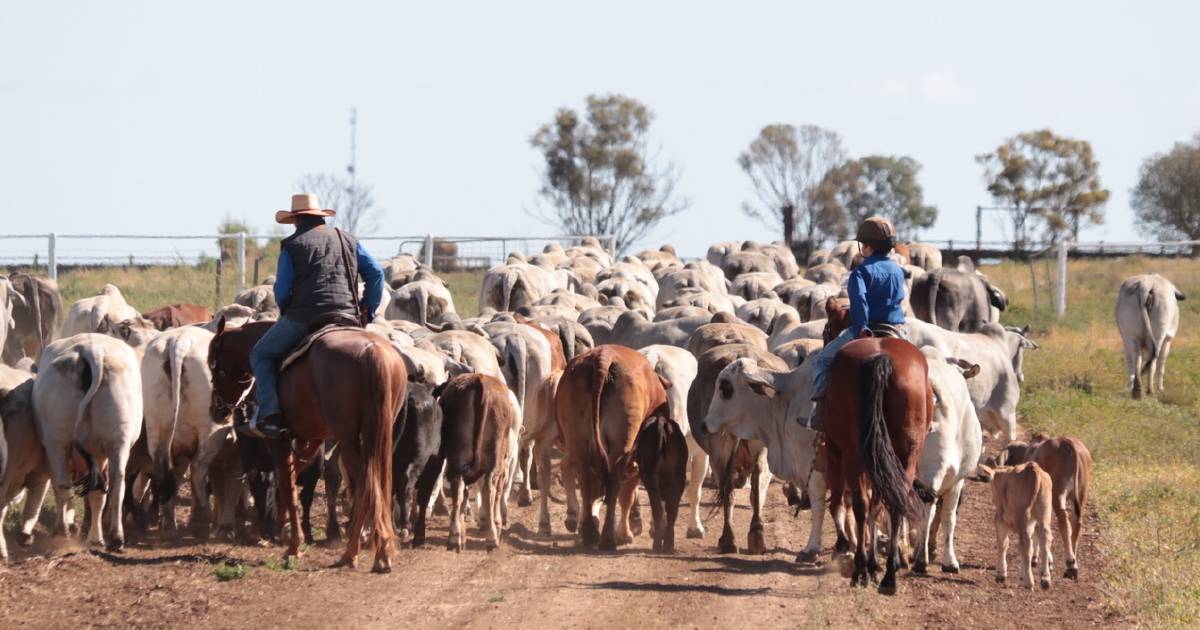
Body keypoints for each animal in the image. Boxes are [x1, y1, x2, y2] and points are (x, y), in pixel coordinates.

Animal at [207, 319, 408, 568]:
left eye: (213, 364)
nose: (217, 410)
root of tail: (372, 350)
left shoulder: (279, 441)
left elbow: (287, 483)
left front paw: (293, 545)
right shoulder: (311, 438)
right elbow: (294, 477)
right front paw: (283, 523)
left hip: (348, 438)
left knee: (364, 481)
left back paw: (363, 551)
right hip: (380, 435)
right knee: (375, 481)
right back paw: (369, 547)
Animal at [436, 374, 520, 549]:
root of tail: (478, 380)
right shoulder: (504, 464)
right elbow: (496, 493)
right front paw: (496, 522)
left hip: (456, 456)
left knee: (458, 489)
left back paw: (455, 536)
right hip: (494, 458)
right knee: (489, 487)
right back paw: (491, 536)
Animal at [556, 343, 672, 549]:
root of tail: (604, 356)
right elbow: (627, 495)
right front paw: (625, 533)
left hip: (578, 439)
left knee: (586, 480)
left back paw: (589, 532)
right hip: (622, 444)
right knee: (614, 481)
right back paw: (608, 538)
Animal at [816, 297, 936, 592]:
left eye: (827, 331)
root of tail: (881, 359)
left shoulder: (835, 451)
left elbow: (842, 502)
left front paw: (849, 550)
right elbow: (877, 504)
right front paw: (878, 562)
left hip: (851, 454)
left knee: (860, 503)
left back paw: (861, 569)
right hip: (905, 453)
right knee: (893, 502)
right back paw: (889, 576)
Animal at [979, 460, 1056, 590]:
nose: (993, 499)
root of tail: (1033, 469)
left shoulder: (1000, 519)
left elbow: (1003, 544)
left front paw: (1001, 574)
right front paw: (1021, 577)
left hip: (1022, 516)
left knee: (1026, 545)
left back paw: (1029, 582)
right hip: (1044, 514)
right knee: (1044, 540)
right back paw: (1045, 579)